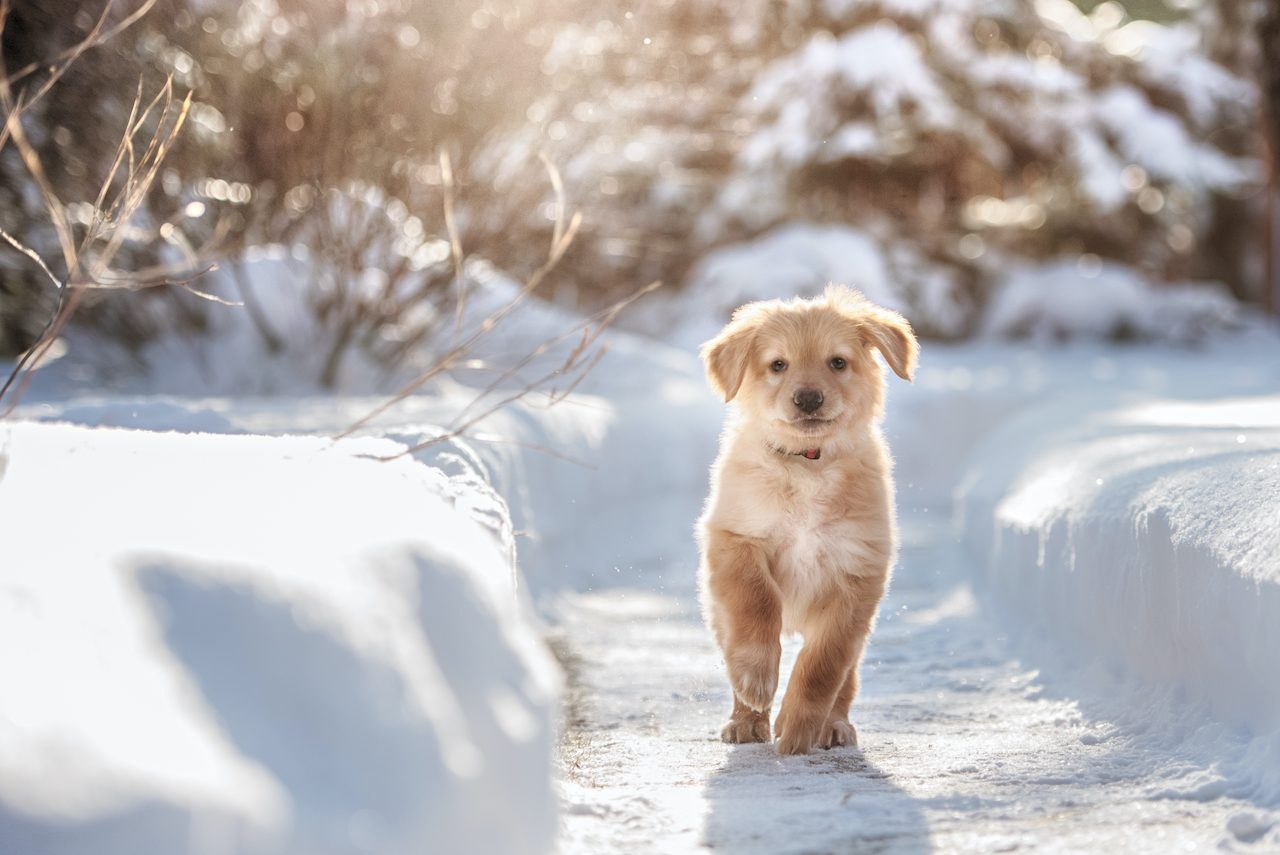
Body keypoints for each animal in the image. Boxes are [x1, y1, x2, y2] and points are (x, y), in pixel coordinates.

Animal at [696, 285, 916, 752]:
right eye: (778, 365)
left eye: (838, 362)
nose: (808, 398)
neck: (807, 464)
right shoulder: (736, 538)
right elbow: (757, 600)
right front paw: (756, 678)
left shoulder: (856, 575)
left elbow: (823, 664)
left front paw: (799, 727)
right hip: (717, 609)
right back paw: (745, 720)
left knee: (847, 679)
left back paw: (833, 724)